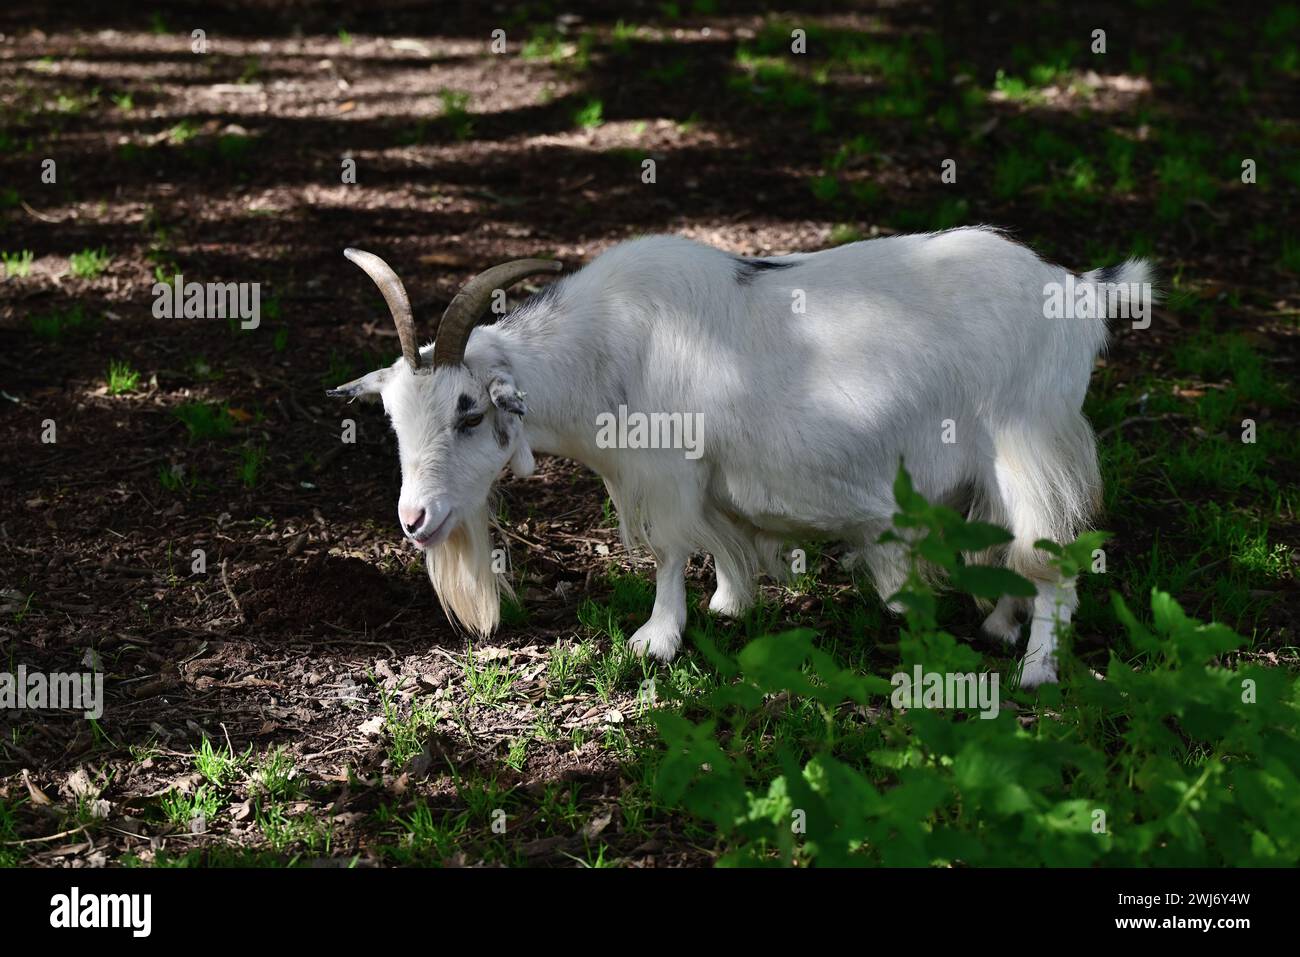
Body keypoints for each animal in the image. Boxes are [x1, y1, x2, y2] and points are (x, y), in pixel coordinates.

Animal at [330, 231, 1154, 686]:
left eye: (468, 411)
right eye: (393, 419)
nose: (414, 518)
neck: (605, 348)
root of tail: (1075, 291)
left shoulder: (666, 471)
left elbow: (667, 552)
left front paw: (658, 640)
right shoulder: (708, 476)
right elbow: (723, 540)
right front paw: (731, 603)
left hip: (1029, 443)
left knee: (1053, 558)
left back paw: (1038, 671)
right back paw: (999, 626)